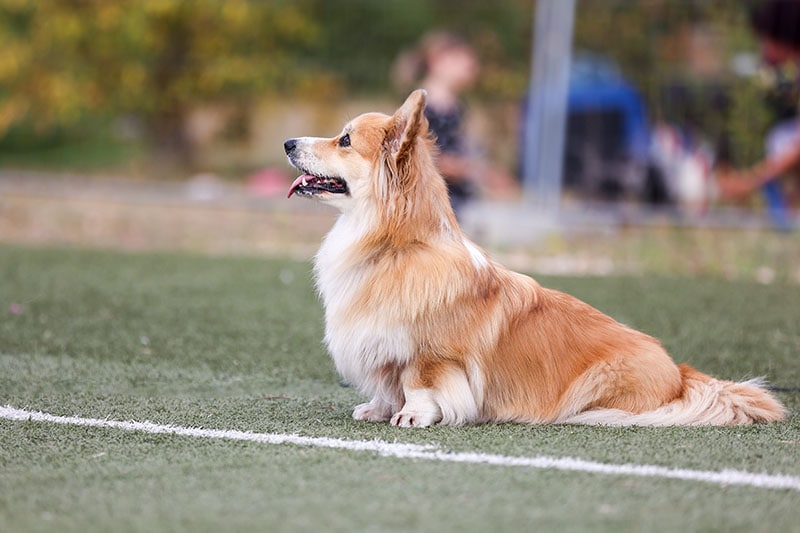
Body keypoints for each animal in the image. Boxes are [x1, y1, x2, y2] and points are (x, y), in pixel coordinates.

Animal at [282, 89, 788, 426]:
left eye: (345, 141)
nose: (287, 143)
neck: (393, 246)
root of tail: (680, 374)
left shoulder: (431, 355)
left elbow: (418, 385)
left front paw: (412, 416)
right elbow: (389, 385)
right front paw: (378, 409)